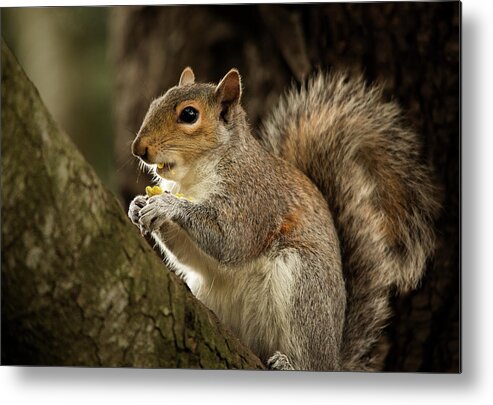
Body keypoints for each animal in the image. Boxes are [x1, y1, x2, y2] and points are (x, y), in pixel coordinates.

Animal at [128, 66, 438, 370]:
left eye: (189, 115)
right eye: (155, 103)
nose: (138, 148)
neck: (195, 177)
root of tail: (334, 358)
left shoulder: (255, 200)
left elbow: (232, 241)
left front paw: (167, 205)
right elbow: (190, 256)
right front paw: (138, 205)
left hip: (302, 282)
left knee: (312, 359)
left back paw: (292, 364)